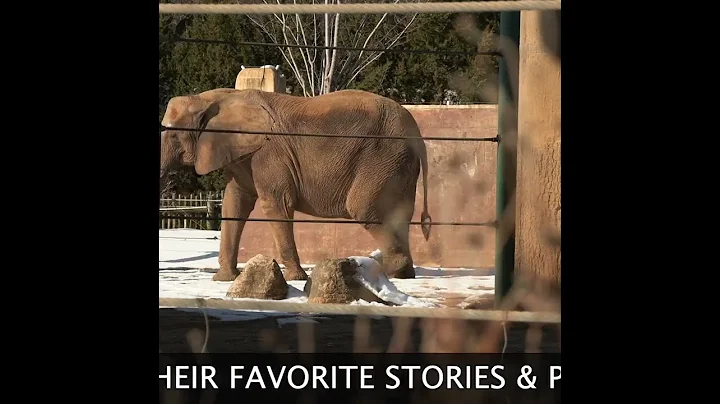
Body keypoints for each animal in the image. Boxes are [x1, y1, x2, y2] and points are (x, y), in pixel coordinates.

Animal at [159, 88, 432, 282]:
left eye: (172, 134)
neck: (211, 98)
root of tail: (416, 131)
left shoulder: (269, 153)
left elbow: (275, 204)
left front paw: (295, 278)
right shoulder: (240, 155)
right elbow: (234, 203)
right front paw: (224, 279)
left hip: (383, 156)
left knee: (365, 209)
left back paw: (386, 269)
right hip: (399, 164)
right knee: (401, 213)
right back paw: (404, 273)